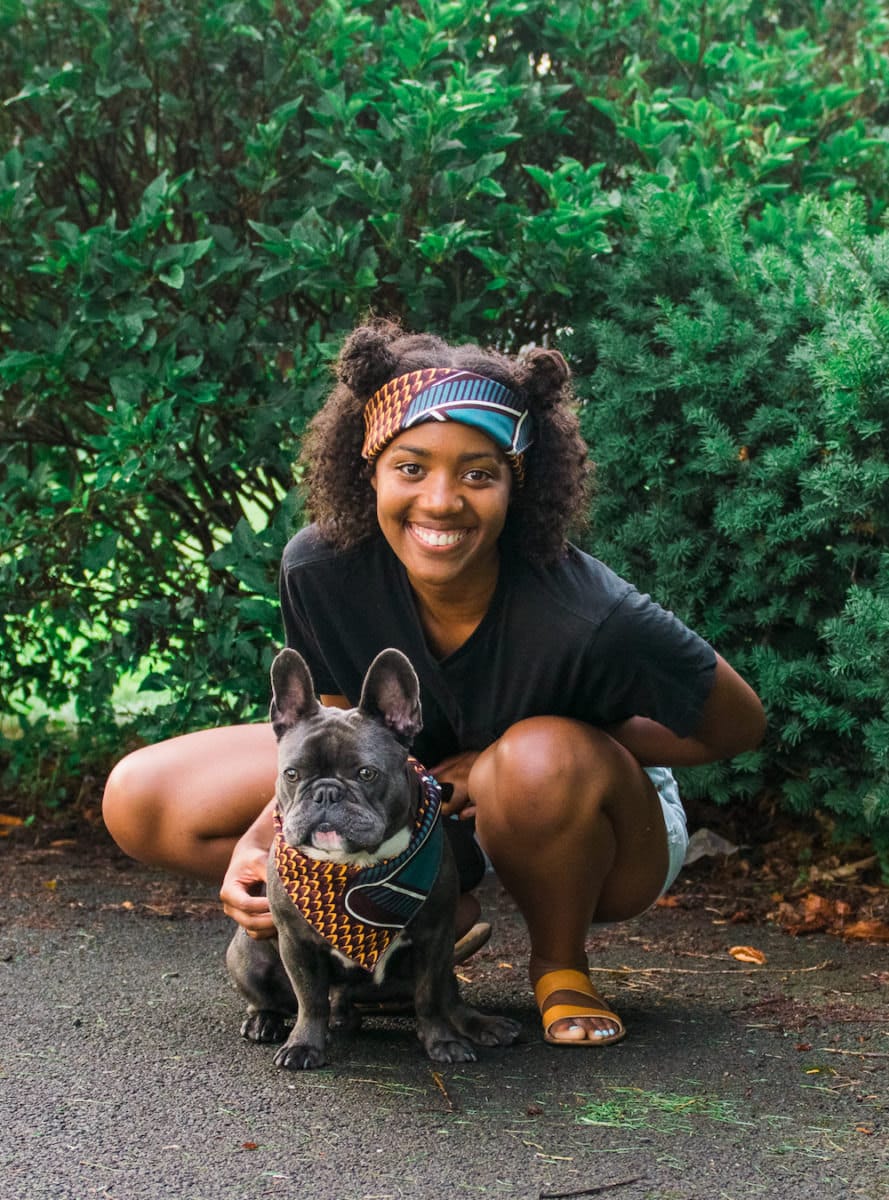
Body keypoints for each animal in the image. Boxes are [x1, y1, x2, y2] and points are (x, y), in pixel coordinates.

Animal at [225, 648, 523, 1070]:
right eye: (292, 774)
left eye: (366, 773)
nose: (326, 792)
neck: (357, 868)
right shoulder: (295, 942)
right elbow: (309, 999)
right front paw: (304, 1045)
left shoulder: (435, 936)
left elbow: (430, 997)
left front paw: (441, 1041)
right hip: (247, 953)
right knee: (273, 998)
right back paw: (266, 1021)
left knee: (447, 994)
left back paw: (477, 1024)